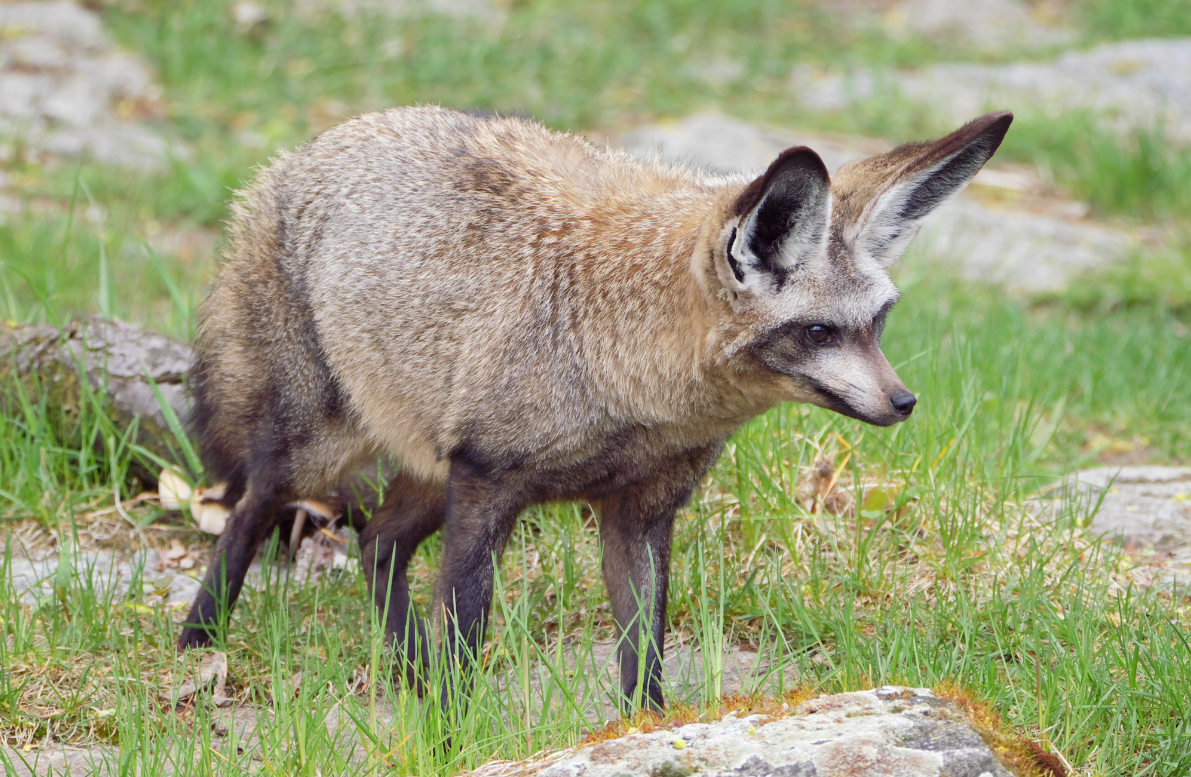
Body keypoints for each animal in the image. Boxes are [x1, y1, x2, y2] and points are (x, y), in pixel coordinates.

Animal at [178, 106, 1014, 719]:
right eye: (818, 333)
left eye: (878, 322)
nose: (903, 402)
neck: (624, 372)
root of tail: (307, 151)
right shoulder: (486, 483)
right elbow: (468, 630)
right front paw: (452, 733)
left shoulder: (639, 513)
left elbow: (642, 653)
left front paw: (645, 732)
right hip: (319, 449)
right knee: (249, 510)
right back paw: (200, 637)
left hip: (423, 466)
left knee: (377, 542)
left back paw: (406, 669)